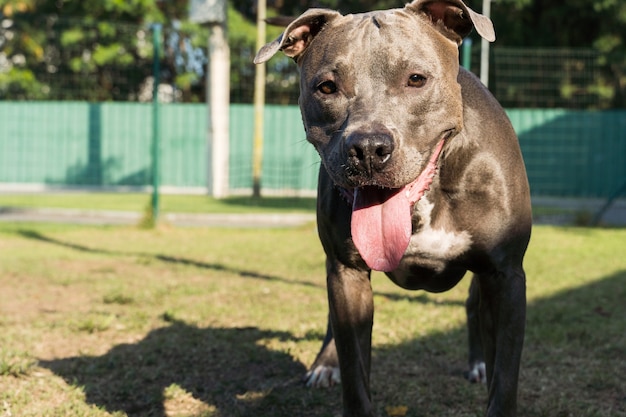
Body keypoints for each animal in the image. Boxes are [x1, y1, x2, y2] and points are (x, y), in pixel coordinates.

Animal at [254, 1, 532, 414]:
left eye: (416, 79)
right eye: (327, 87)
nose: (369, 148)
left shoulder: (506, 275)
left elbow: (506, 379)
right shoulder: (347, 273)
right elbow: (355, 374)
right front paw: (337, 368)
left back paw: (477, 363)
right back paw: (324, 365)